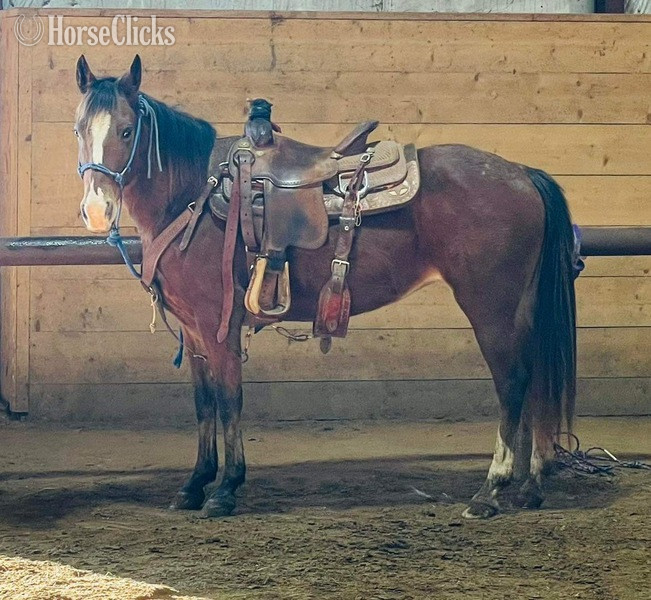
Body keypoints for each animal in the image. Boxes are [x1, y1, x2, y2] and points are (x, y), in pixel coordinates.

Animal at [74, 54, 576, 520]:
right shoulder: (194, 332)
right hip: (521, 308)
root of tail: (521, 173)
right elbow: (203, 405)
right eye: (79, 128)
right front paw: (195, 484)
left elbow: (229, 400)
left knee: (512, 382)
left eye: (126, 131)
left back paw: (491, 490)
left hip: (491, 308)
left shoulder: (219, 326)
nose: (97, 209)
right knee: (535, 379)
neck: (194, 196)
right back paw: (530, 488)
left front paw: (225, 489)